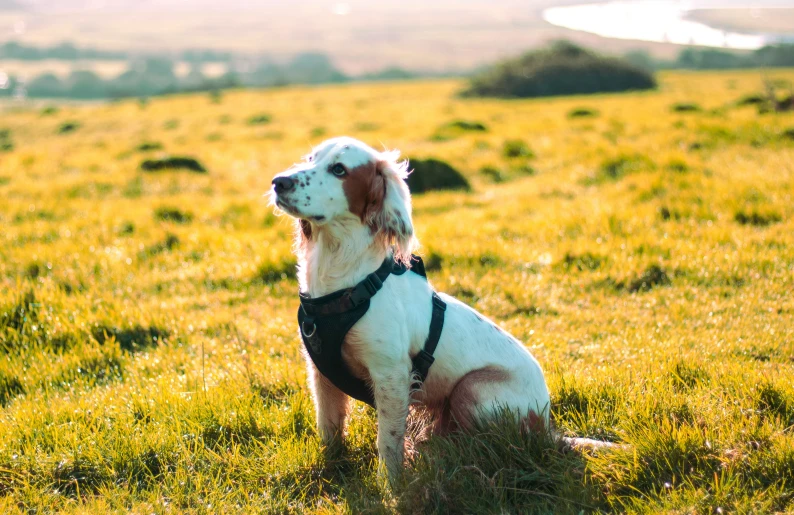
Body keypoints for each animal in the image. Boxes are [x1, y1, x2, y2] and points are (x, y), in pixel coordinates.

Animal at [270, 138, 612, 484]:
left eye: (339, 169)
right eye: (310, 159)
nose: (278, 182)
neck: (344, 283)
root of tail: (547, 427)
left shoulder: (391, 375)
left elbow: (388, 441)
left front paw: (391, 487)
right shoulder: (321, 374)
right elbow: (329, 429)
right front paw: (330, 469)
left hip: (471, 389)